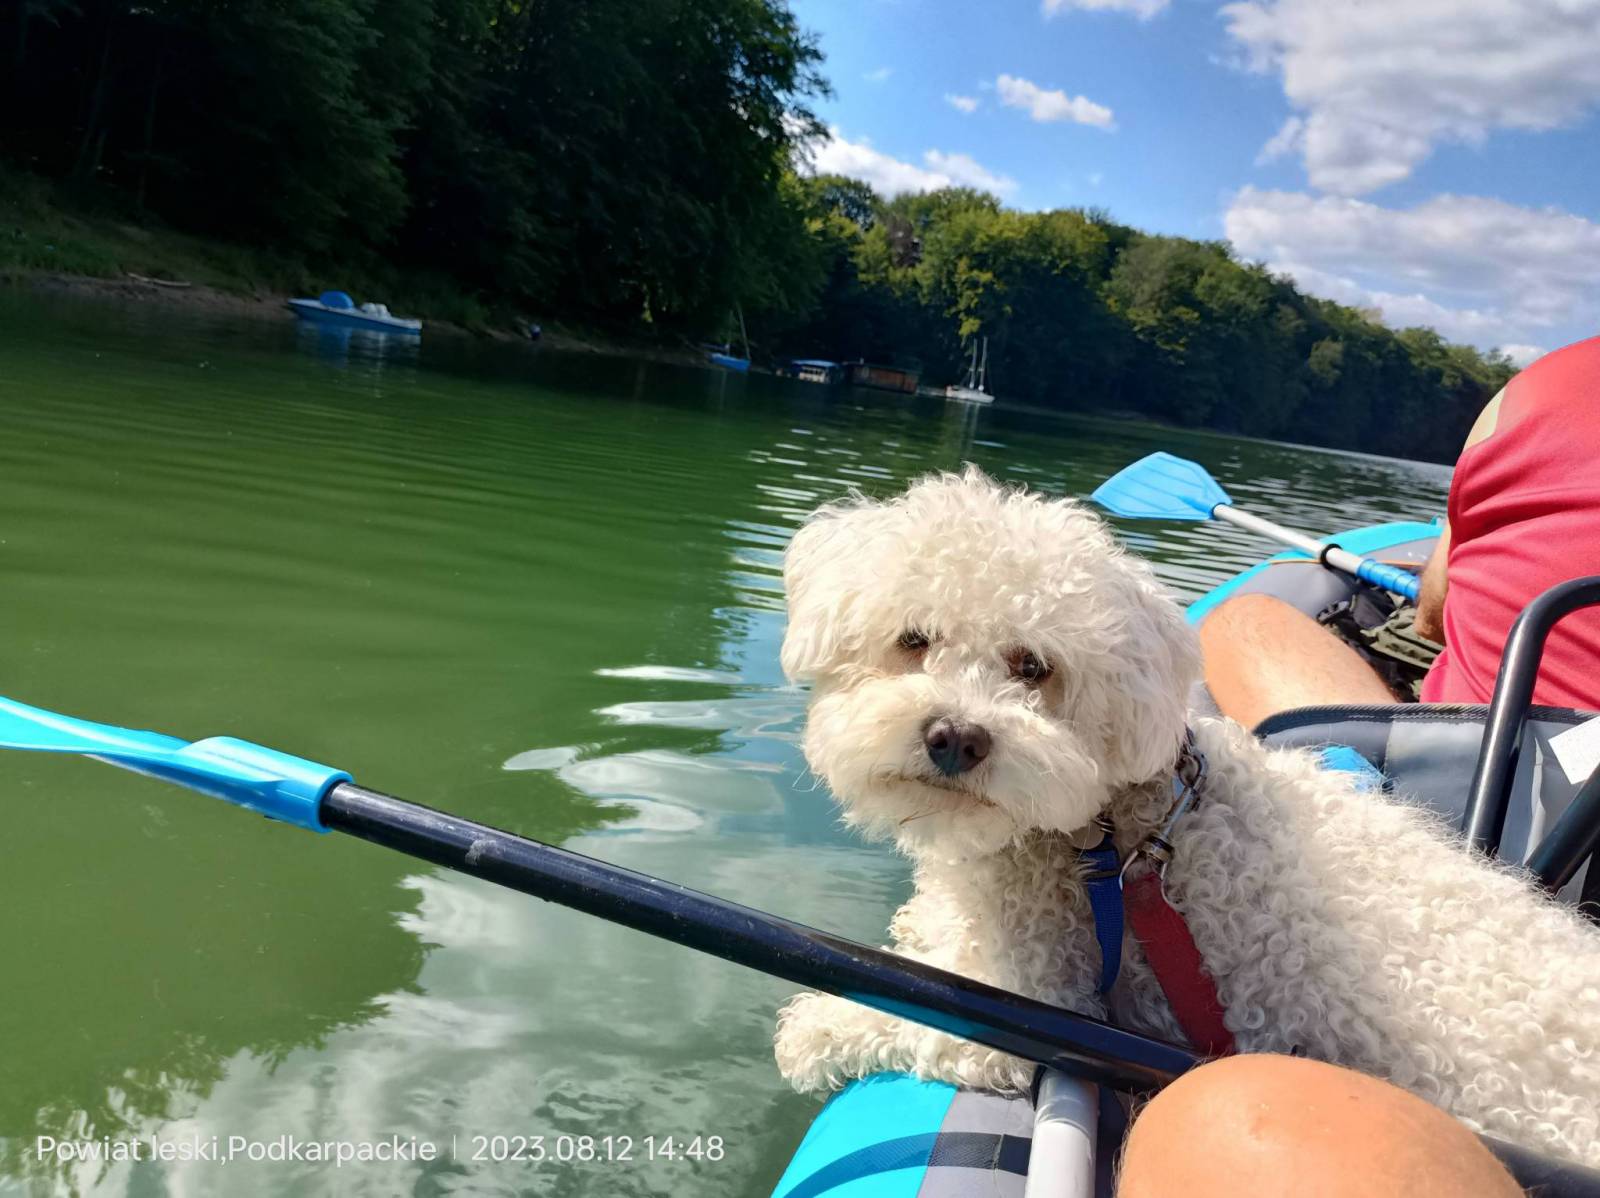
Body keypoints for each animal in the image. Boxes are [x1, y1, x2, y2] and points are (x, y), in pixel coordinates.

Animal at [772, 467, 1600, 1168]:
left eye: (1035, 667)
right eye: (914, 639)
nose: (956, 736)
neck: (1105, 830)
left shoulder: (1034, 1004)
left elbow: (907, 1018)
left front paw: (812, 1030)